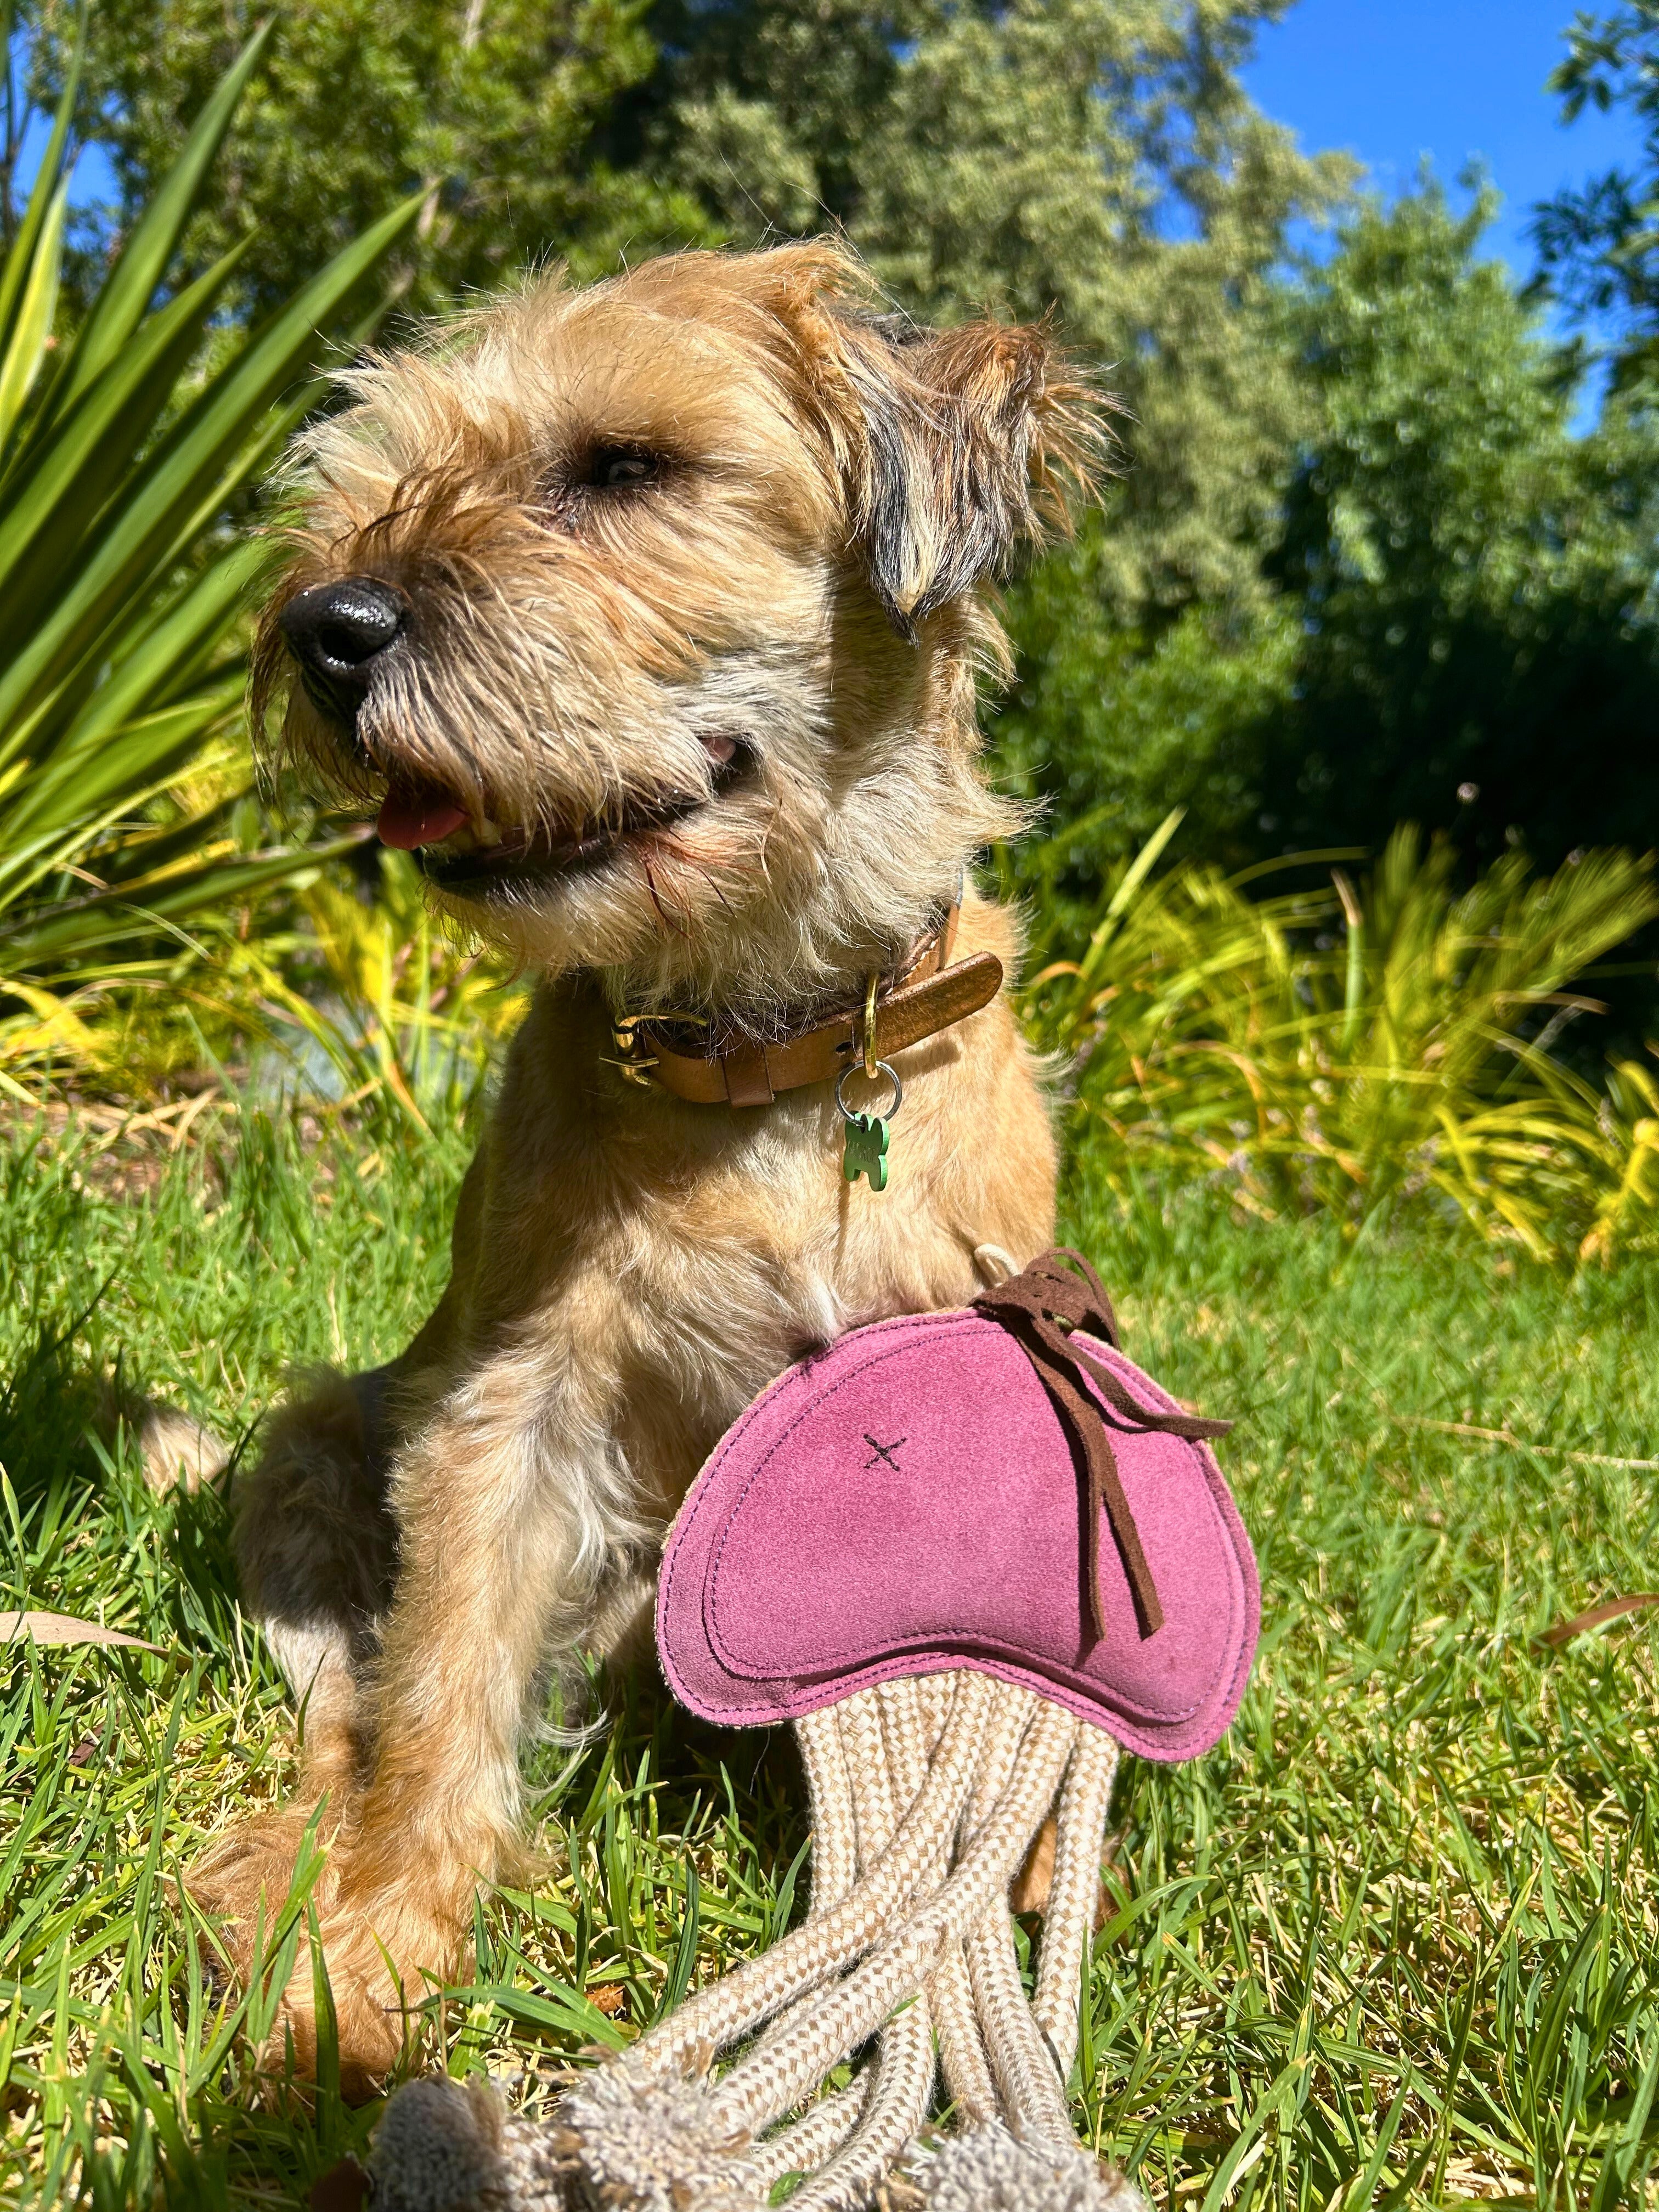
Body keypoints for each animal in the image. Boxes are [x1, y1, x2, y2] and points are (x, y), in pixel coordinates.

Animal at [191, 242, 1106, 2088]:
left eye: (627, 466)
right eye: (384, 459)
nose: (325, 627)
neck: (770, 1049)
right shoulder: (507, 1402)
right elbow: (445, 1681)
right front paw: (376, 1962)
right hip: (314, 1439)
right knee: (345, 1708)